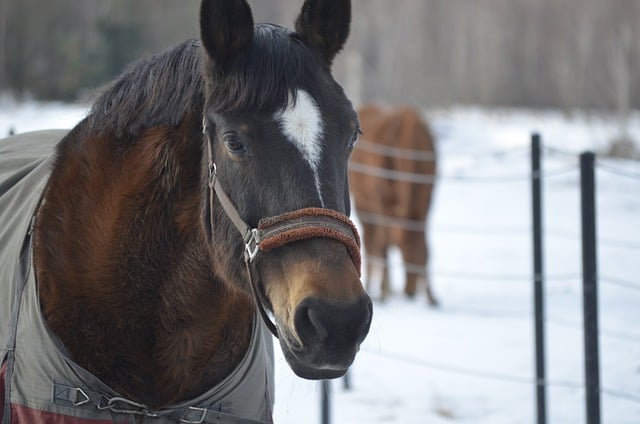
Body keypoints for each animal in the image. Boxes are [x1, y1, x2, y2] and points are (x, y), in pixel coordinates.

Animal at [348, 105, 438, 306]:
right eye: (402, 249)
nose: (410, 291)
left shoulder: (424, 207)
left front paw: (431, 296)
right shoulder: (379, 207)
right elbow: (382, 245)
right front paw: (383, 291)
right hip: (366, 206)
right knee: (373, 243)